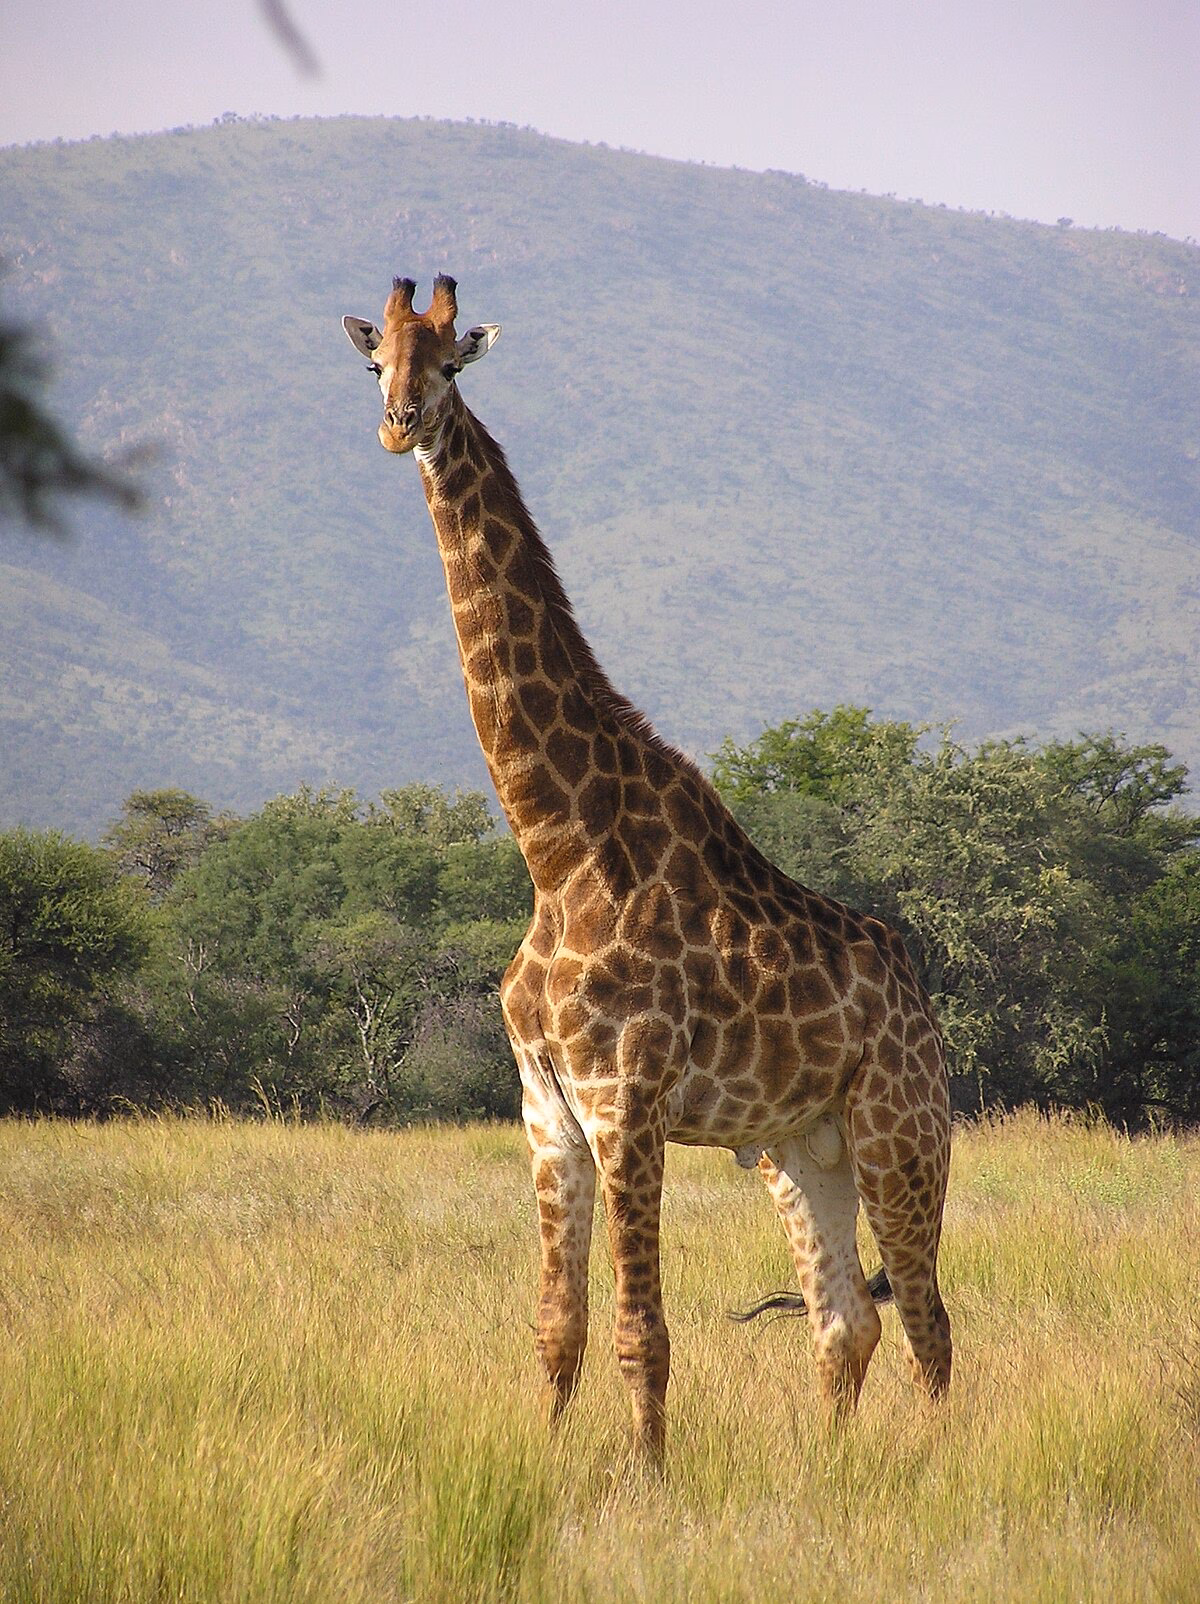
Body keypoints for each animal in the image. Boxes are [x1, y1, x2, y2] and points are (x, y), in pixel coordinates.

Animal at [342, 275, 952, 1466]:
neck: (557, 847)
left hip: (902, 1132)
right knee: (845, 1318)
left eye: (450, 363)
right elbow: (557, 1323)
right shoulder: (546, 1105)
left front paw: (647, 1478)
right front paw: (544, 1463)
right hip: (799, 1147)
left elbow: (641, 1330)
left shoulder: (627, 1095)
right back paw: (831, 1468)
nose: (398, 426)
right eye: (375, 361)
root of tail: (922, 1002)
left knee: (928, 1321)